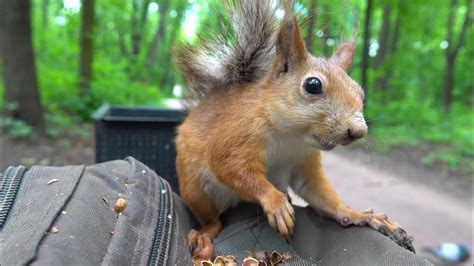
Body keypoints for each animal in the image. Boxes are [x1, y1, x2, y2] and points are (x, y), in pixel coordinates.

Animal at [172, 0, 412, 260]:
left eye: (360, 92)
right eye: (313, 85)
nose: (358, 131)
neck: (291, 137)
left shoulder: (304, 161)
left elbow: (319, 193)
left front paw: (356, 214)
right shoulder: (237, 135)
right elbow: (230, 166)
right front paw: (276, 204)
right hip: (196, 190)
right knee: (210, 218)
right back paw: (205, 234)